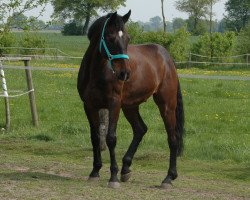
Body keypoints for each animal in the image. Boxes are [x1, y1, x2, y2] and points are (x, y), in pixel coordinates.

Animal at [77, 10, 185, 189]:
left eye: (128, 38)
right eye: (110, 37)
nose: (124, 73)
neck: (97, 72)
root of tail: (167, 57)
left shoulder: (114, 105)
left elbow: (111, 138)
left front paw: (113, 177)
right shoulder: (89, 106)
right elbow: (95, 137)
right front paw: (95, 172)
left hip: (166, 105)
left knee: (172, 139)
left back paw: (168, 178)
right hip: (130, 106)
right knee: (140, 129)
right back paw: (126, 168)